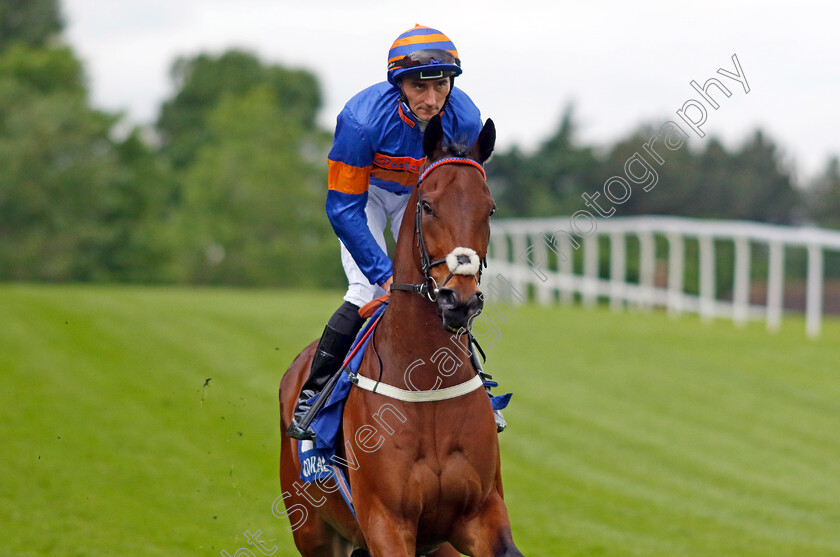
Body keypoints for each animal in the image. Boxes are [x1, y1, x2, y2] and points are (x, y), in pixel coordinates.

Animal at [278, 115, 520, 552]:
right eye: (427, 205)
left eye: (490, 208)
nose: (460, 301)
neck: (425, 380)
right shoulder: (385, 522)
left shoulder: (480, 514)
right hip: (313, 532)